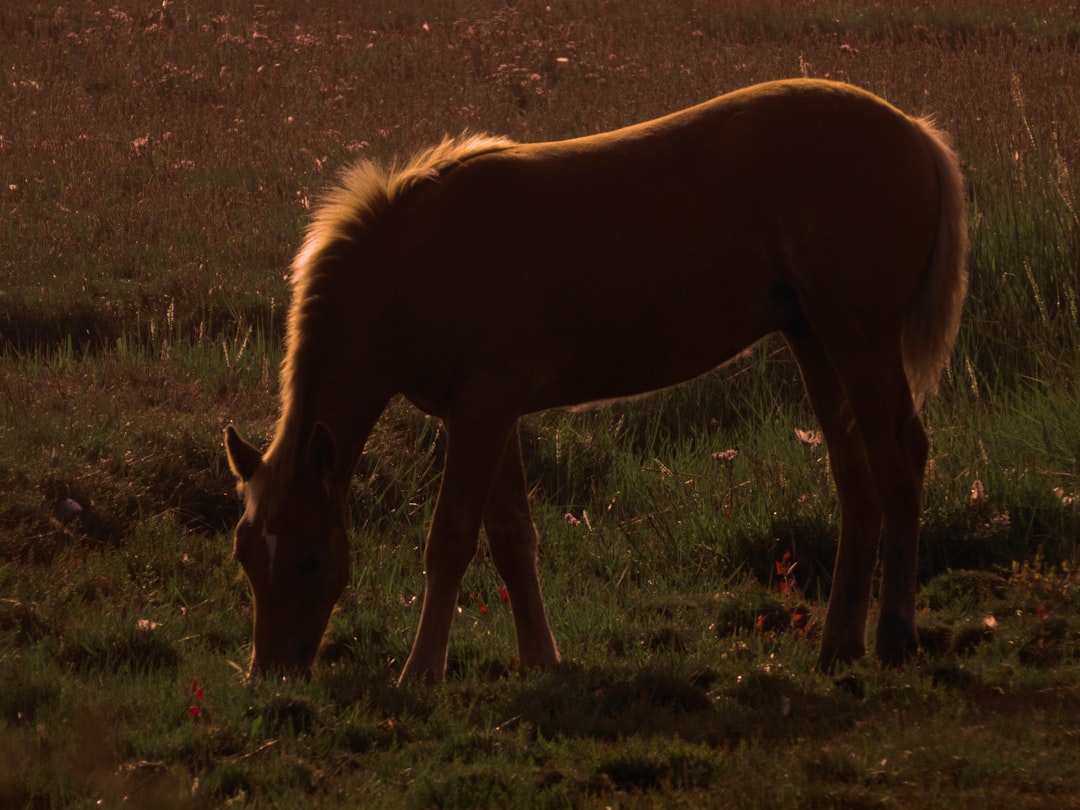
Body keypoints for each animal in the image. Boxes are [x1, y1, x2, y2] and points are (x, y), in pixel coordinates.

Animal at [225, 79, 972, 682]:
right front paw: (540, 659)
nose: (273, 672)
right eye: (245, 554)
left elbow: (451, 539)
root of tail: (915, 132)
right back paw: (838, 645)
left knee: (900, 460)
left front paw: (421, 671)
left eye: (311, 558)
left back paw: (895, 636)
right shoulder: (488, 415)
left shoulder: (483, 409)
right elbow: (511, 539)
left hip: (860, 342)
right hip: (817, 343)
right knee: (856, 479)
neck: (418, 265)